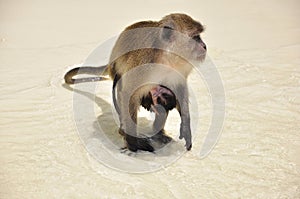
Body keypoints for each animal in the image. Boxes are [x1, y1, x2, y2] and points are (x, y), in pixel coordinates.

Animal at [64, 13, 207, 152]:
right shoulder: (143, 65)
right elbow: (129, 93)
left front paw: (186, 127)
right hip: (116, 70)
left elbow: (179, 90)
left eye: (199, 36)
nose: (204, 46)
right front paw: (133, 144)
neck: (166, 58)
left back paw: (159, 134)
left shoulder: (182, 67)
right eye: (196, 37)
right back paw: (124, 131)